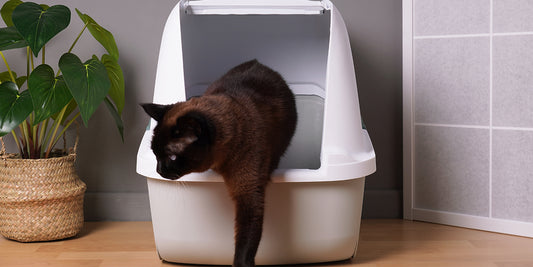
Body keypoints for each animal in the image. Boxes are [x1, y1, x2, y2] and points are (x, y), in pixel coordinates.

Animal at [141, 59, 298, 266]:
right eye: (155, 154)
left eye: (172, 157)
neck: (221, 162)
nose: (159, 170)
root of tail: (258, 63)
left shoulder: (249, 195)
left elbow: (244, 245)